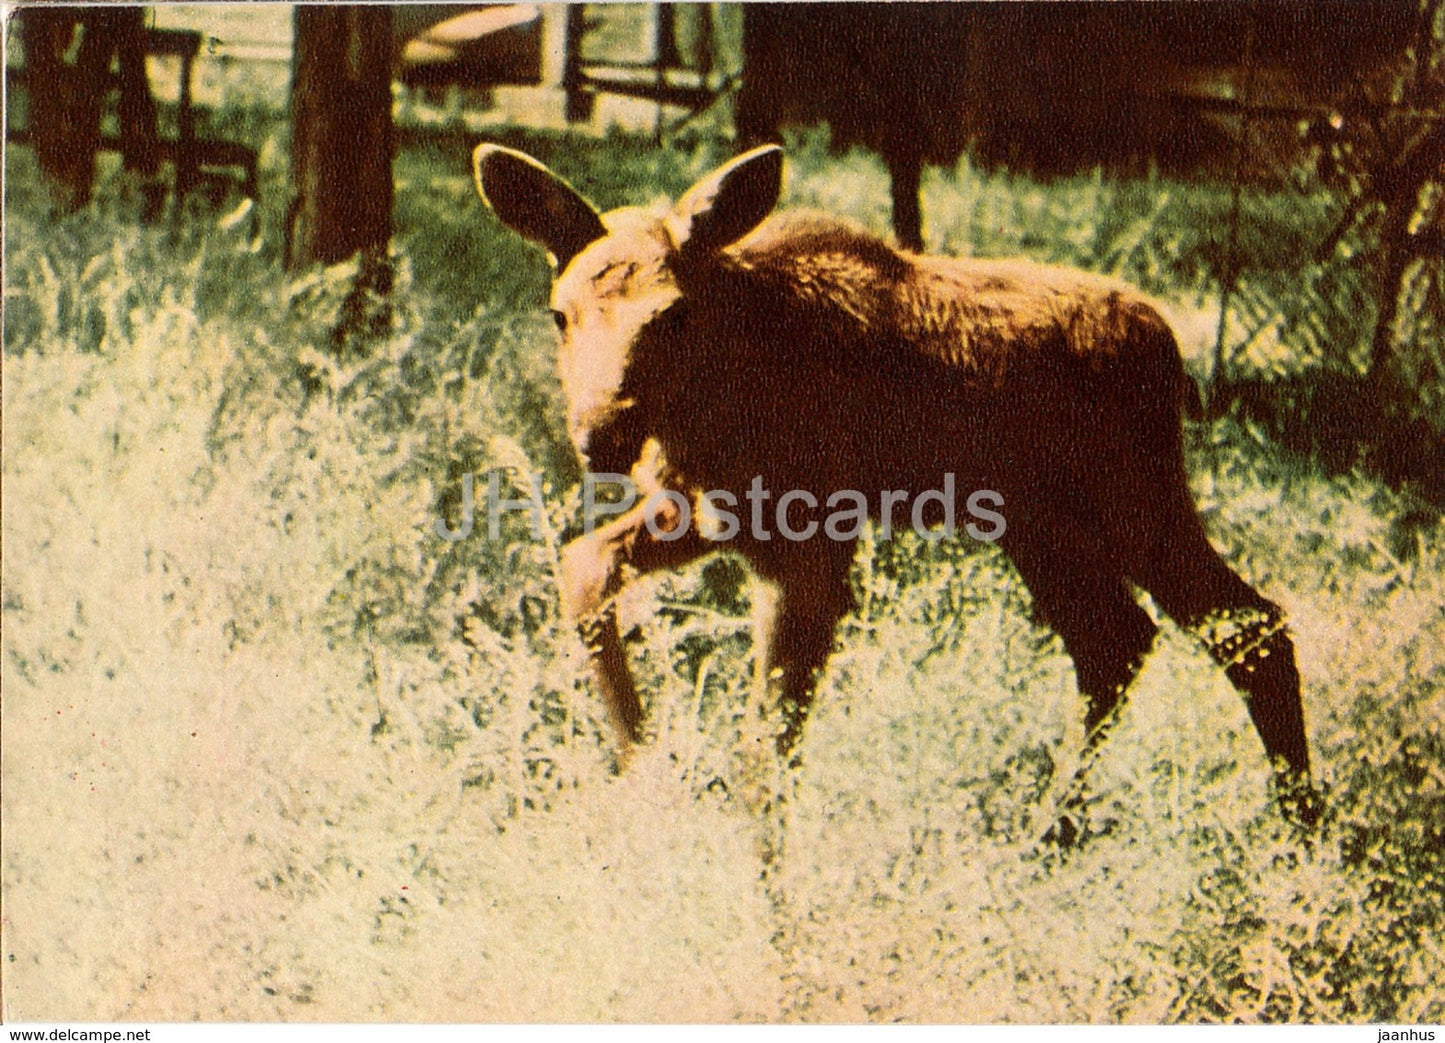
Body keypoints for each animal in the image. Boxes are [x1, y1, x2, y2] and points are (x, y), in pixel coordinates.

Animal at [471, 142, 1320, 844]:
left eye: (672, 313)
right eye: (560, 313)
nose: (597, 435)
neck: (709, 398)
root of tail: (1168, 344)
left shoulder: (808, 544)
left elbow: (769, 755)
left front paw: (772, 916)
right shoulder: (716, 511)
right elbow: (583, 565)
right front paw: (644, 763)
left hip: (1133, 497)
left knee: (1248, 623)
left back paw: (1298, 834)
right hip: (1040, 525)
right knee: (1120, 641)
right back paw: (1050, 831)